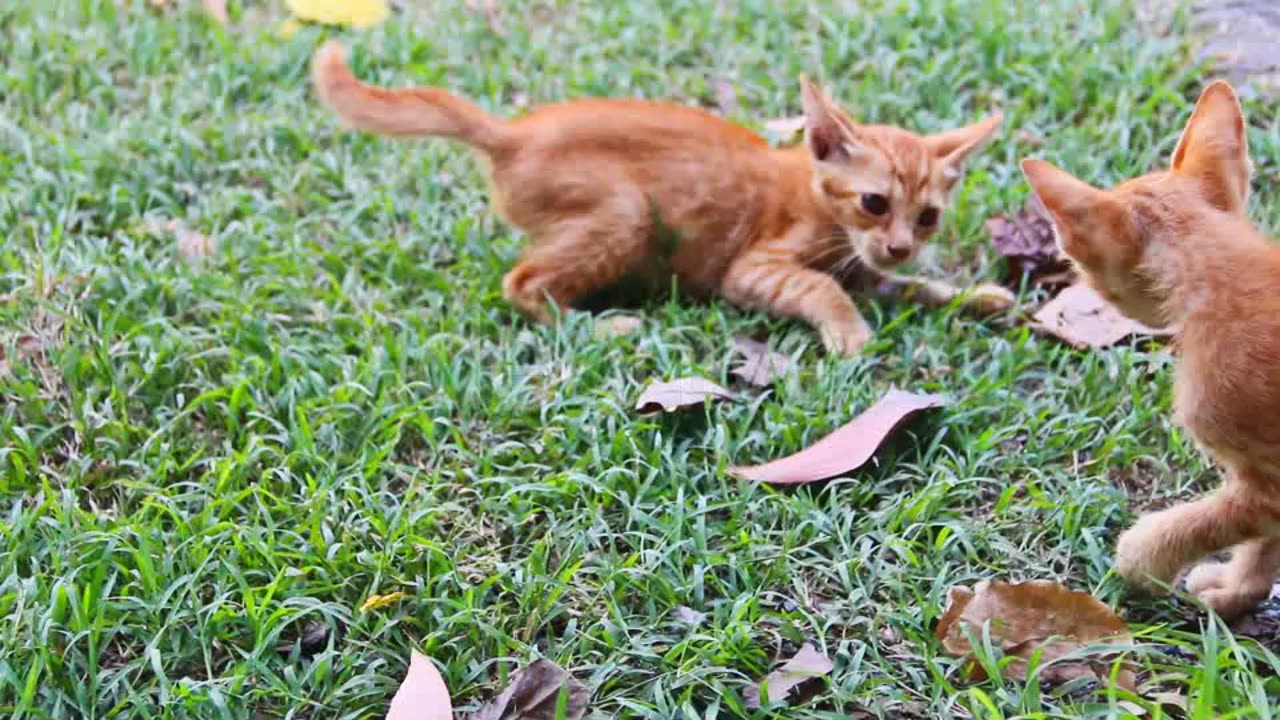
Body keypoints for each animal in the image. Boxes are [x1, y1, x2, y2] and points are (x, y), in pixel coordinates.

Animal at [309, 41, 1008, 353]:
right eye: (873, 203)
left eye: (928, 217)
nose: (899, 244)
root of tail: (513, 132)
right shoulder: (752, 269)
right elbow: (820, 286)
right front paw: (851, 334)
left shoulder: (869, 269)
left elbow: (910, 287)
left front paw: (977, 296)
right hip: (628, 215)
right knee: (522, 282)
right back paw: (603, 326)